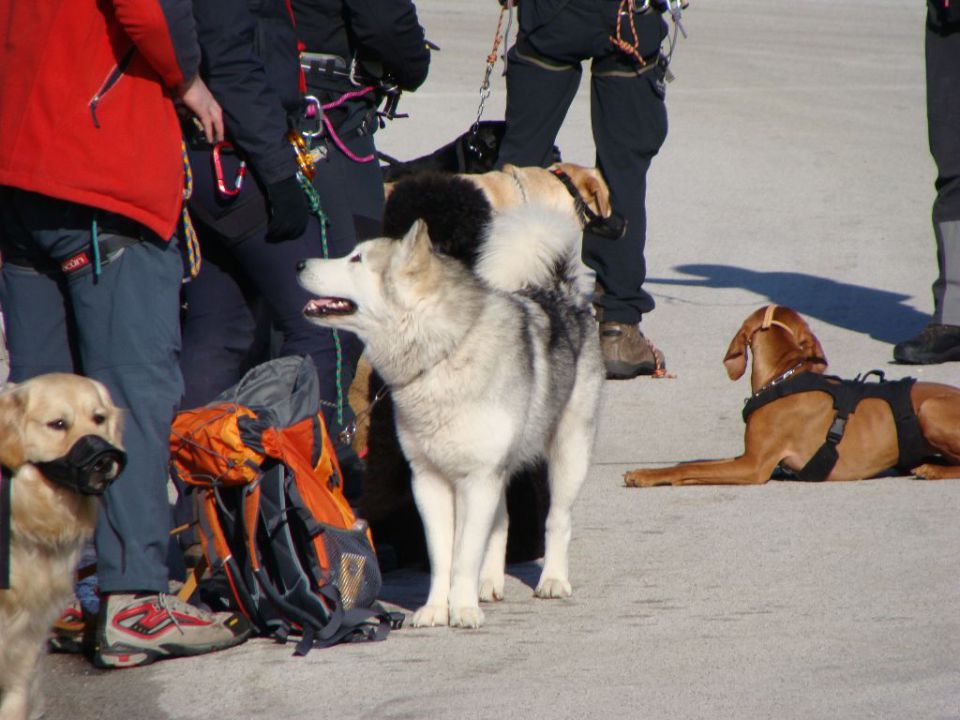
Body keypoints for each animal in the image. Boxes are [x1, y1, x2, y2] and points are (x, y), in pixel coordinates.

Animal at [300, 201, 604, 624]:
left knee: (557, 519)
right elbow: (443, 555)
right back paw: (489, 583)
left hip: (567, 454)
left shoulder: (477, 479)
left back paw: (553, 580)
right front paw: (434, 609)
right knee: (501, 522)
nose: (299, 262)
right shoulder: (430, 482)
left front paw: (461, 608)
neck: (442, 353)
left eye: (356, 259)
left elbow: (464, 554)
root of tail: (561, 292)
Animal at [624, 306, 960, 490]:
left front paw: (651, 476)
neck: (784, 377)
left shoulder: (754, 466)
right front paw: (646, 472)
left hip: (930, 409)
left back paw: (932, 470)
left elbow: (689, 468)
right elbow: (696, 463)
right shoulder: (747, 456)